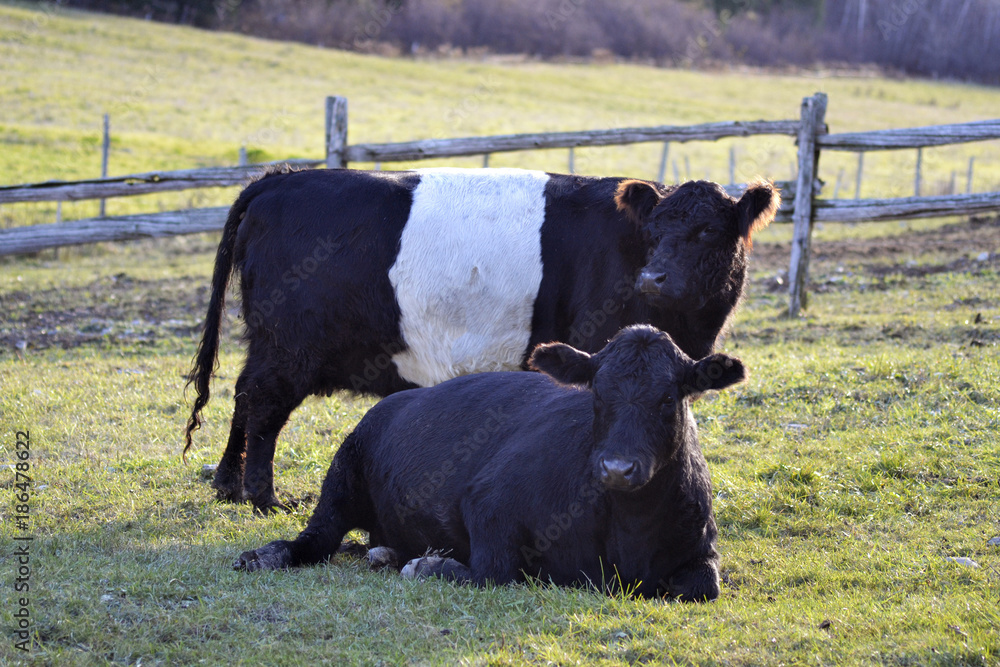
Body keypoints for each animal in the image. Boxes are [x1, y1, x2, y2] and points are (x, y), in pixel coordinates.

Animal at [186, 167, 780, 512]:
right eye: (654, 232)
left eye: (708, 231)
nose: (654, 278)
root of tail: (281, 176)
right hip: (290, 346)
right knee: (264, 404)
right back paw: (263, 497)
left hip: (266, 340)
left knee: (242, 393)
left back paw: (226, 484)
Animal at [234, 326, 748, 604]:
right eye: (598, 394)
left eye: (668, 398)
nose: (617, 468)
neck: (628, 529)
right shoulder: (487, 503)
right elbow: (494, 572)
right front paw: (428, 567)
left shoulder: (702, 551)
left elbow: (704, 585)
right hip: (342, 476)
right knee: (316, 539)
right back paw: (265, 556)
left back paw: (386, 554)